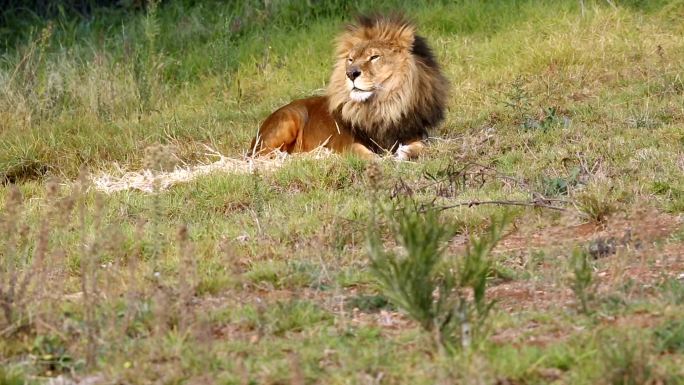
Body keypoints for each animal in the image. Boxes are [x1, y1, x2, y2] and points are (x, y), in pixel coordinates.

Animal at [248, 15, 446, 159]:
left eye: (374, 57)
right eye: (350, 59)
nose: (350, 73)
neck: (382, 106)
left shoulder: (413, 133)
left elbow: (421, 147)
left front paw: (405, 152)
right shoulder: (342, 142)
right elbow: (358, 151)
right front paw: (376, 159)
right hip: (289, 119)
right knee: (261, 154)